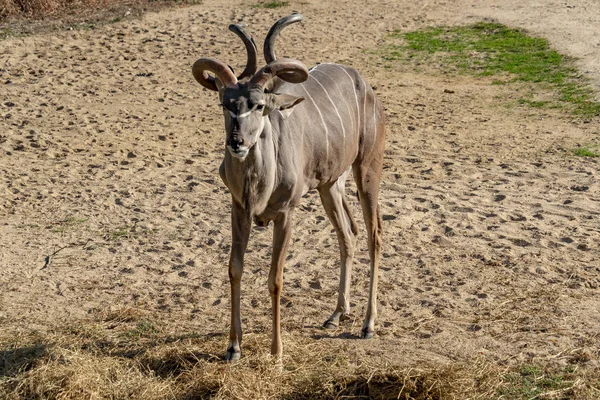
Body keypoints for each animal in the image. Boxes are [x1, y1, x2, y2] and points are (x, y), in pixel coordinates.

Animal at [195, 14, 386, 360]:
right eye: (225, 105)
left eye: (258, 106)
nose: (237, 142)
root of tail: (363, 84)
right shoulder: (238, 210)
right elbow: (234, 268)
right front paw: (233, 347)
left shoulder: (286, 214)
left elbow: (275, 279)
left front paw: (277, 349)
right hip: (329, 186)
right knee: (348, 234)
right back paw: (337, 313)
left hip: (367, 169)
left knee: (374, 233)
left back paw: (368, 325)